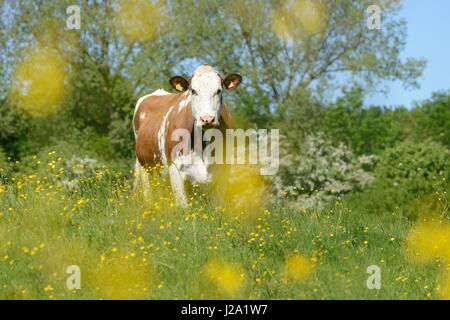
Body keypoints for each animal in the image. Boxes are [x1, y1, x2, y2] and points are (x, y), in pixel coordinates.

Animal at [132, 64, 241, 208]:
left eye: (218, 91)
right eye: (193, 91)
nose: (207, 119)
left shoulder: (223, 171)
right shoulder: (175, 168)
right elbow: (183, 207)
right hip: (145, 167)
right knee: (147, 193)